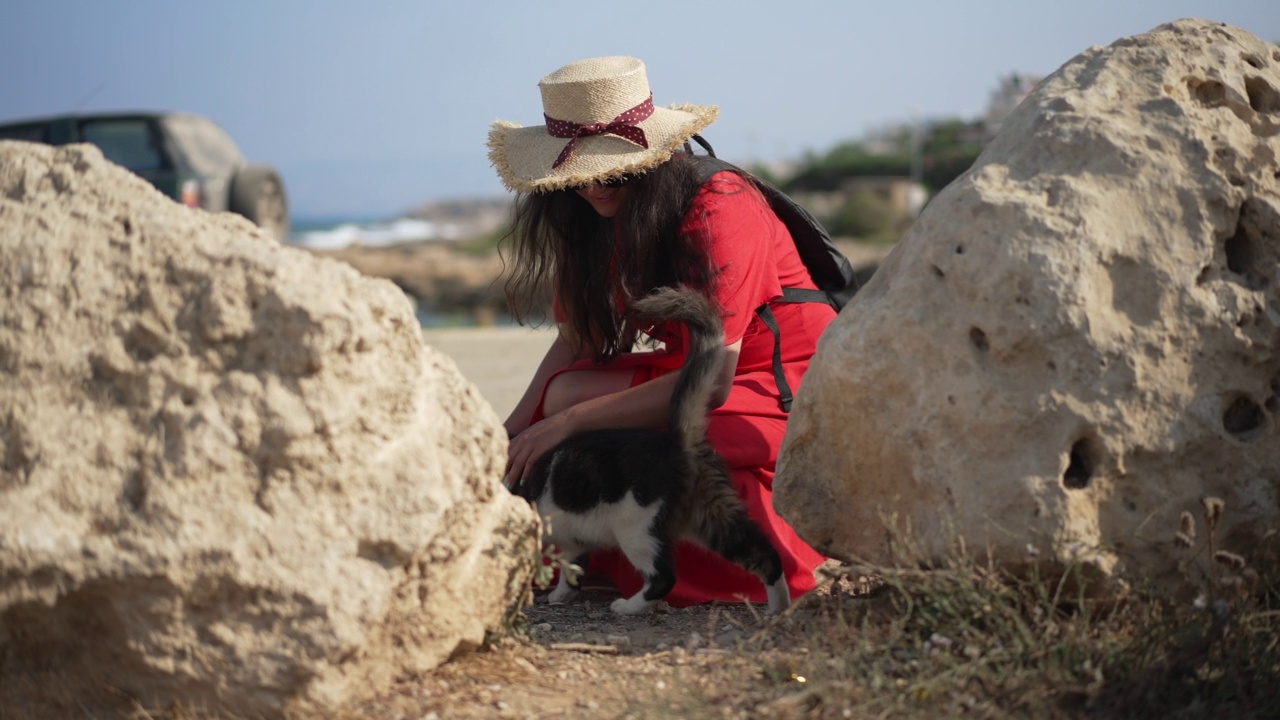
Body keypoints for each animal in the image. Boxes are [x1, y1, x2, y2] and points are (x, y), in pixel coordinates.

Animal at [509, 288, 788, 614]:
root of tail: (677, 441)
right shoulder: (574, 540)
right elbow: (573, 569)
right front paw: (559, 595)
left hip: (637, 528)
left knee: (663, 578)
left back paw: (626, 607)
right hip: (712, 515)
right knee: (765, 554)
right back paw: (779, 609)